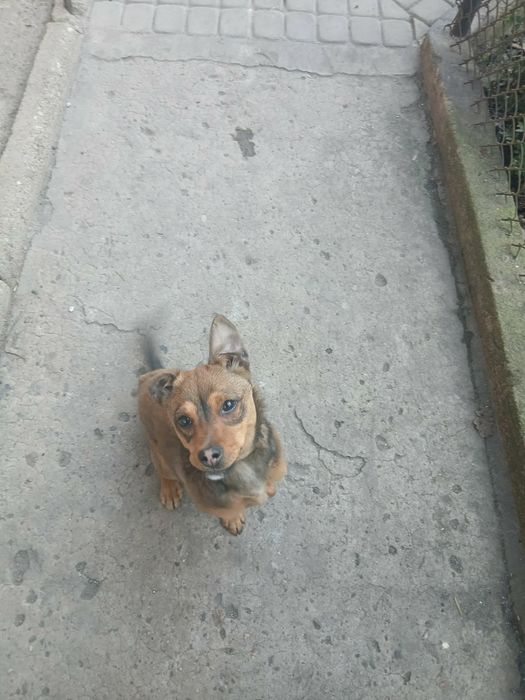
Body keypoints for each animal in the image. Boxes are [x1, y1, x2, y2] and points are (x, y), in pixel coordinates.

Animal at [138, 315, 287, 535]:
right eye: (183, 420)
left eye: (228, 405)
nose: (208, 456)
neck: (245, 469)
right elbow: (231, 510)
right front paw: (233, 519)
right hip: (159, 453)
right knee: (163, 470)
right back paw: (169, 489)